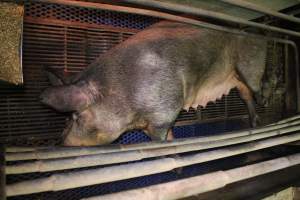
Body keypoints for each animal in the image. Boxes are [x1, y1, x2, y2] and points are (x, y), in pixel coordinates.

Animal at [39, 20, 268, 146]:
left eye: (74, 118)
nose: (59, 143)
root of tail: (257, 33)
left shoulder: (165, 110)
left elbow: (161, 138)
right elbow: (170, 135)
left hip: (251, 66)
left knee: (256, 88)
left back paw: (265, 105)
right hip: (236, 79)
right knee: (246, 95)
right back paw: (255, 124)